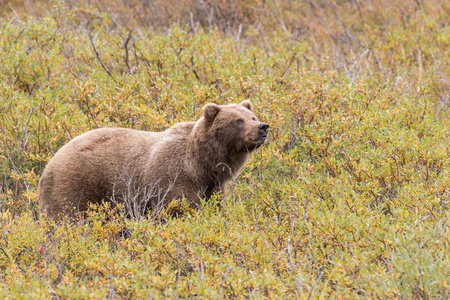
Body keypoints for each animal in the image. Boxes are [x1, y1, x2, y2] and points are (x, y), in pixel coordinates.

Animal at [39, 101, 268, 218]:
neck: (202, 164)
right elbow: (178, 208)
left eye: (252, 116)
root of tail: (50, 162)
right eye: (238, 120)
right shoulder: (173, 179)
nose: (263, 127)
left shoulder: (213, 187)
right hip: (76, 183)